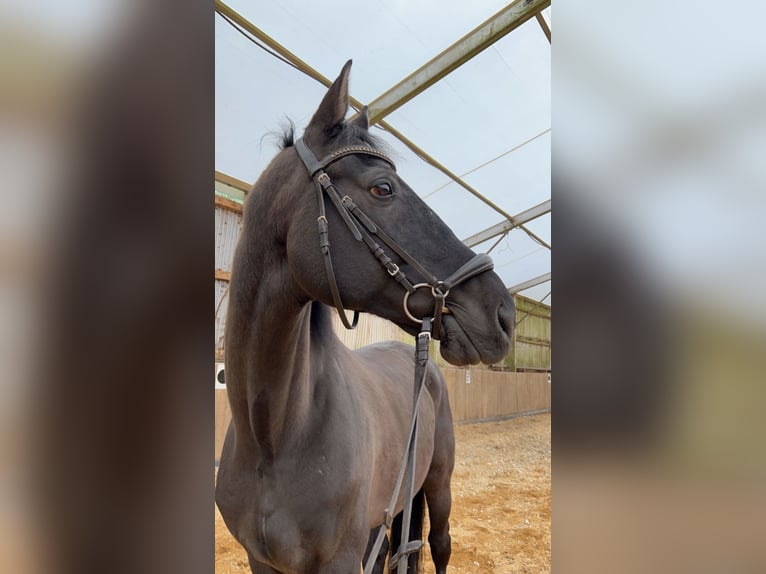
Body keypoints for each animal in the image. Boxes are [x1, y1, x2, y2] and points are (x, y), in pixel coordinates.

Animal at [215, 60, 515, 574]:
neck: (274, 436)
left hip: (437, 484)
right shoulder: (261, 561)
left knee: (439, 545)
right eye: (382, 188)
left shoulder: (340, 558)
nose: (504, 313)